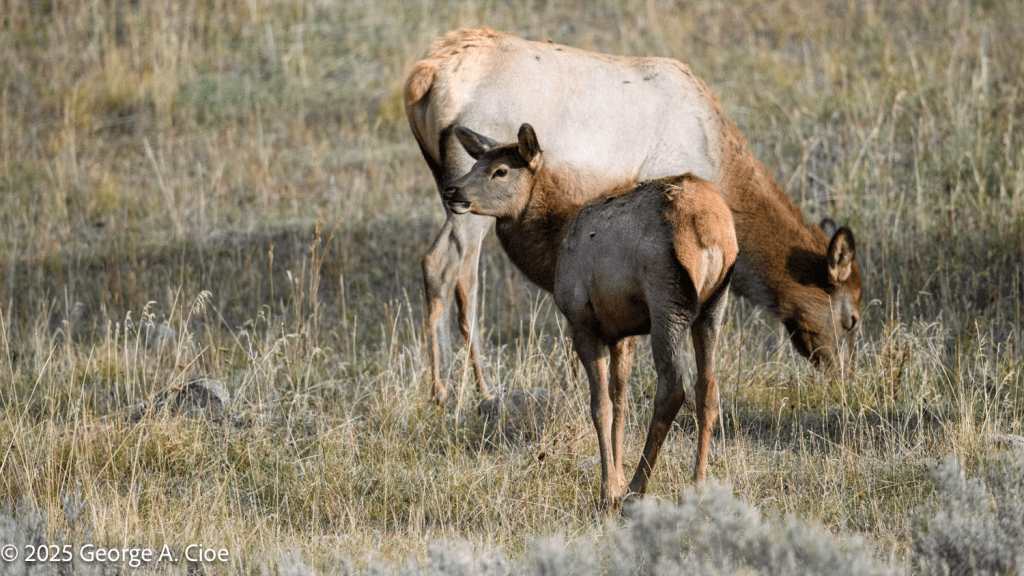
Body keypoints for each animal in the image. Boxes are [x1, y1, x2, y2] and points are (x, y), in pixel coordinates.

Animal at [405, 28, 863, 405]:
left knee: (452, 269)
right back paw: (461, 390)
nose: (844, 377)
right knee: (445, 265)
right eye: (853, 319)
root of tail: (422, 80)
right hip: (469, 196)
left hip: (448, 185)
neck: (718, 159)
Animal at [444, 122, 737, 509]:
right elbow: (621, 404)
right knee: (708, 388)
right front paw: (615, 476)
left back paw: (637, 489)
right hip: (714, 303)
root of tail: (712, 232)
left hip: (666, 293)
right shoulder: (623, 330)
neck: (552, 252)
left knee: (674, 386)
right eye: (477, 163)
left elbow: (601, 407)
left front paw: (608, 489)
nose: (452, 190)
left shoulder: (582, 320)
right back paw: (699, 487)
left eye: (501, 170)